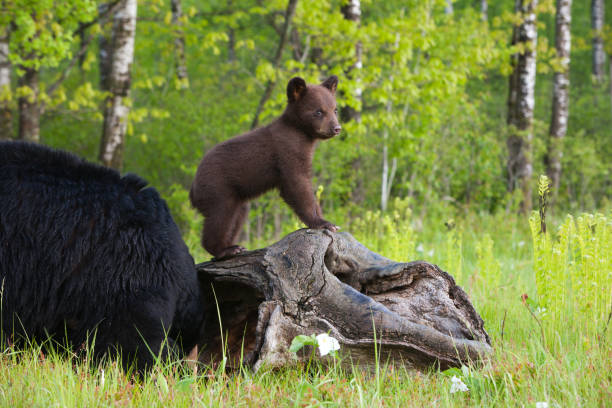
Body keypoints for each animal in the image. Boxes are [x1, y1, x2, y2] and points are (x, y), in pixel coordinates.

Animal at [191, 75, 342, 260]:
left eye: (335, 110)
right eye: (319, 111)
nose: (336, 128)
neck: (301, 134)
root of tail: (193, 190)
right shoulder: (287, 153)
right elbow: (297, 185)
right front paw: (323, 223)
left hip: (237, 197)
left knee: (238, 216)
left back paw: (235, 246)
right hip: (218, 189)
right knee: (220, 217)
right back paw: (225, 249)